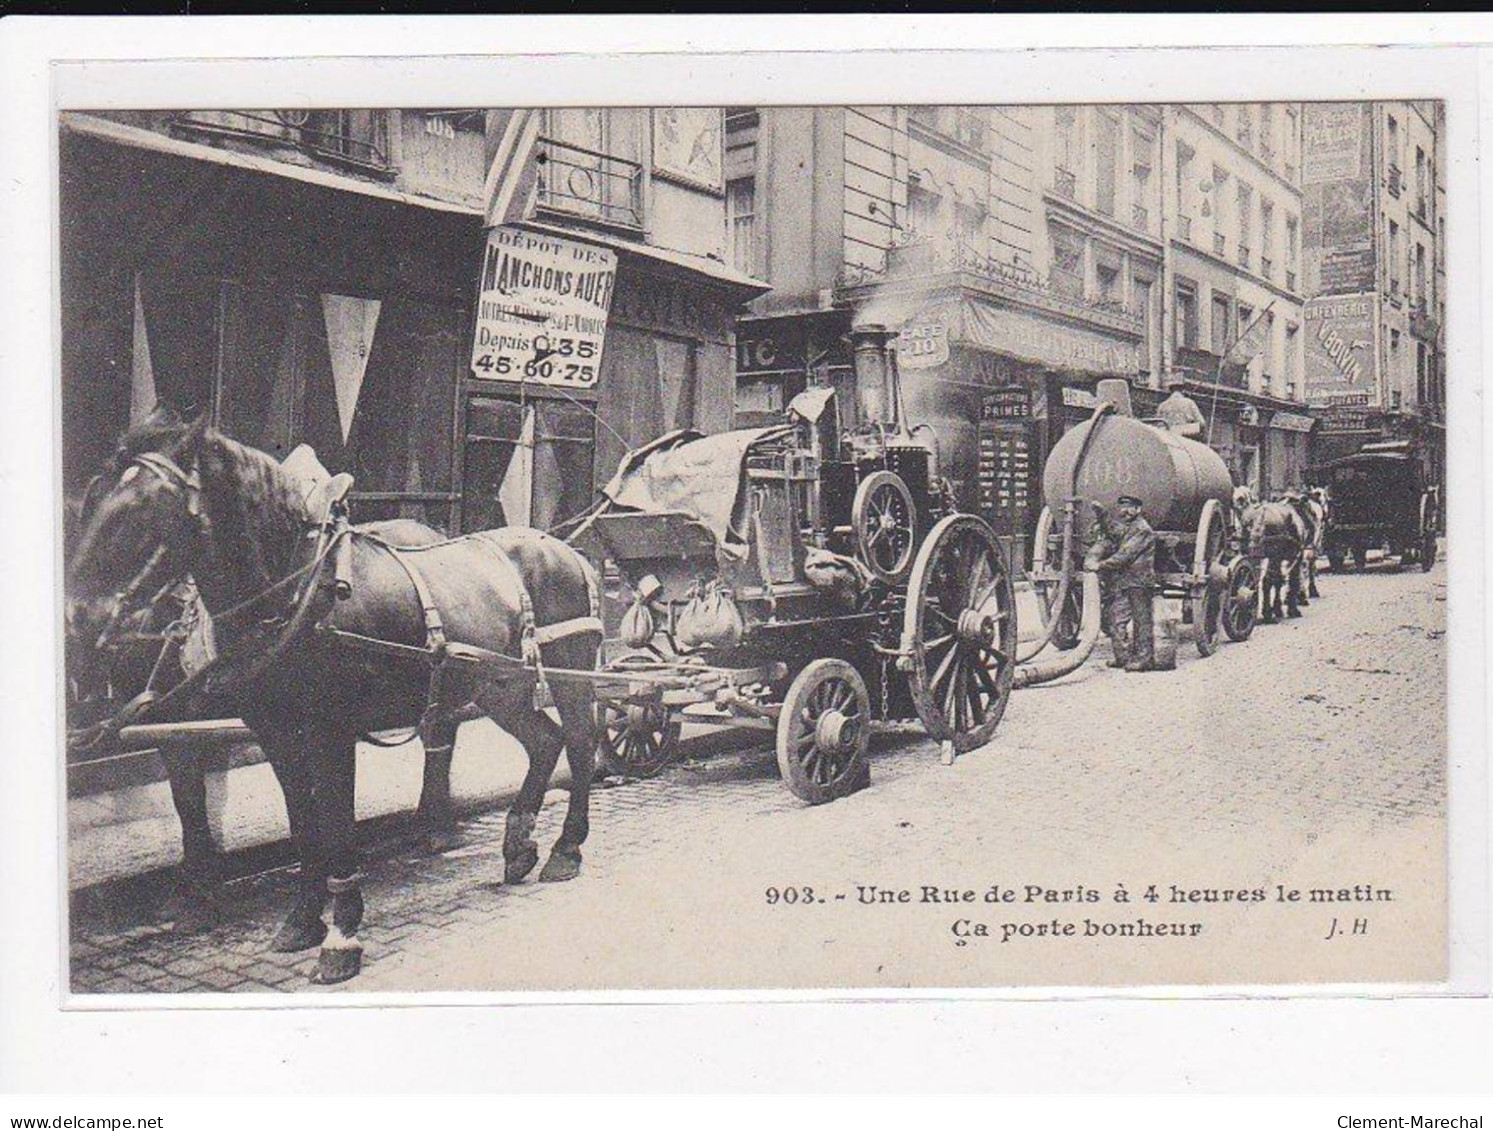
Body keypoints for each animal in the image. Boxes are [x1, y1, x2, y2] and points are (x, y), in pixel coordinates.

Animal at [64, 417, 600, 984]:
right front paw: (301, 920)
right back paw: (517, 844)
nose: (77, 618)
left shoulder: (331, 729)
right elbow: (302, 823)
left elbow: (337, 823)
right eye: (94, 496)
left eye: (147, 505)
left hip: (570, 672)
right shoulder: (275, 732)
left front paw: (342, 935)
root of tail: (566, 550)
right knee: (545, 740)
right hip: (498, 686)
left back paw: (566, 848)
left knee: (581, 742)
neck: (300, 590)